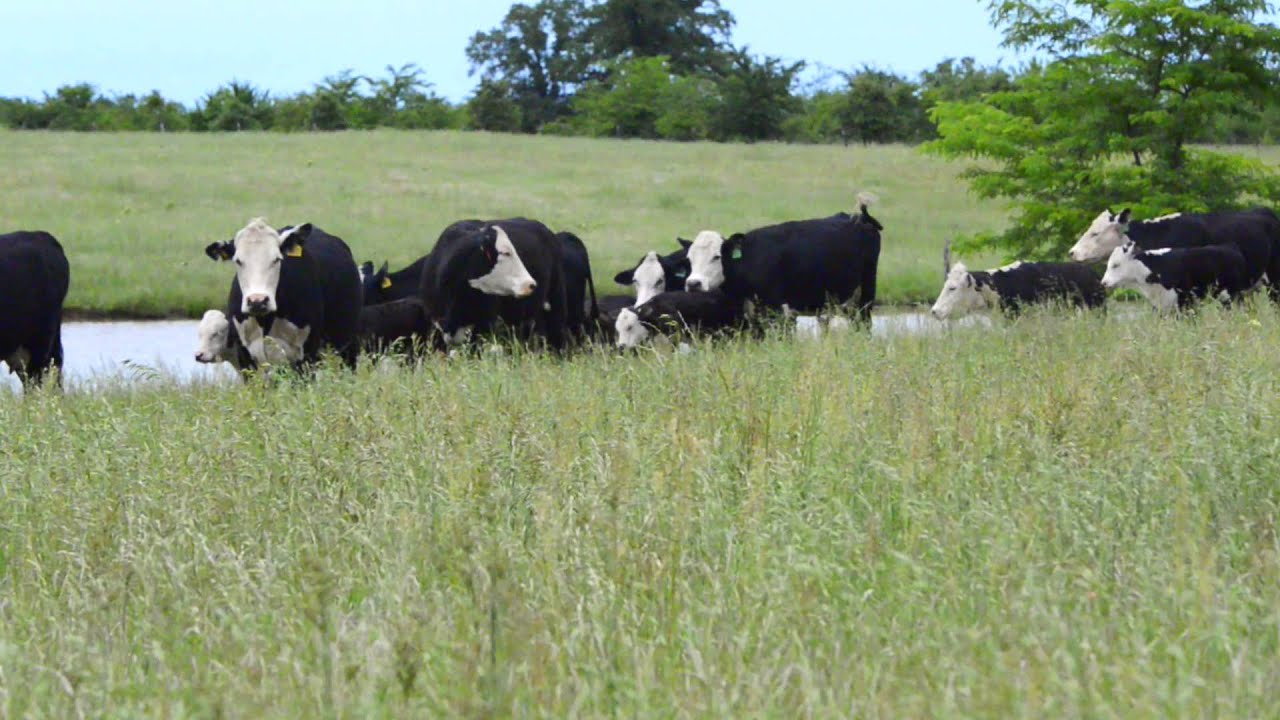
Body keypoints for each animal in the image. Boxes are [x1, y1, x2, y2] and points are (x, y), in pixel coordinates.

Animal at [204, 220, 363, 372]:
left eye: (277, 259)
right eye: (238, 261)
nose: (257, 301)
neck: (265, 321)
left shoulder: (306, 353)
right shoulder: (245, 355)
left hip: (348, 346)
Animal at [683, 194, 882, 322]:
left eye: (716, 256)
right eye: (689, 258)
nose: (693, 284)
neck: (749, 259)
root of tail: (860, 218)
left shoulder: (775, 307)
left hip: (866, 293)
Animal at [1100, 241, 1249, 311]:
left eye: (1116, 265)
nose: (1104, 282)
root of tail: (1230, 247)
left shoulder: (1186, 301)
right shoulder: (1161, 305)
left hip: (1234, 294)